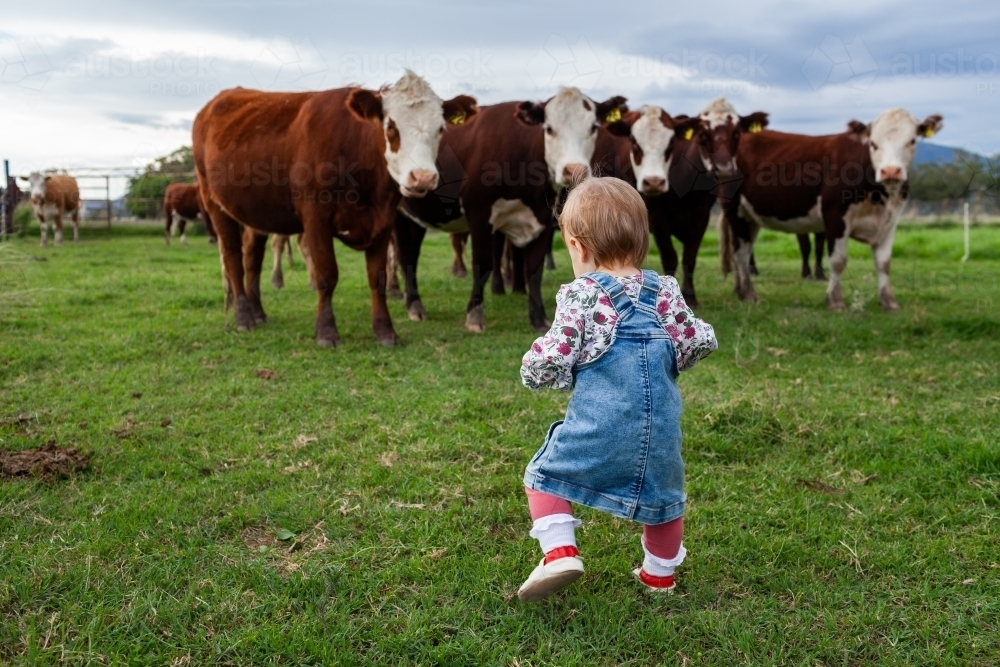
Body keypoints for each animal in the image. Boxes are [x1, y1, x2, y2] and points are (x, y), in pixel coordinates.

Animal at [194, 70, 480, 348]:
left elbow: (377, 277)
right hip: (214, 203)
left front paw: (386, 332)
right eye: (390, 127)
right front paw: (326, 332)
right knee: (233, 258)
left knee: (252, 257)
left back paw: (257, 312)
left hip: (257, 213)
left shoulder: (383, 220)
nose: (422, 177)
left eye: (440, 128)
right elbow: (327, 275)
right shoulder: (316, 219)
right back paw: (244, 317)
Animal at [390, 86, 624, 332]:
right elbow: (483, 264)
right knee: (405, 255)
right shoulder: (479, 215)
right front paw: (474, 315)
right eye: (549, 129)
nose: (574, 169)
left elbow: (534, 271)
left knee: (411, 256)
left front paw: (538, 318)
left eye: (593, 128)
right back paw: (414, 305)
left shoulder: (542, 221)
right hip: (398, 214)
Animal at [720, 109, 944, 310]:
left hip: (750, 217)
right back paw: (749, 295)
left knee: (744, 249)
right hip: (734, 209)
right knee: (740, 252)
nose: (891, 171)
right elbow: (838, 261)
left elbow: (884, 262)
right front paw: (835, 301)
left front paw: (889, 302)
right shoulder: (835, 216)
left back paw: (740, 290)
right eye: (873, 144)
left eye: (912, 141)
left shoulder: (889, 221)